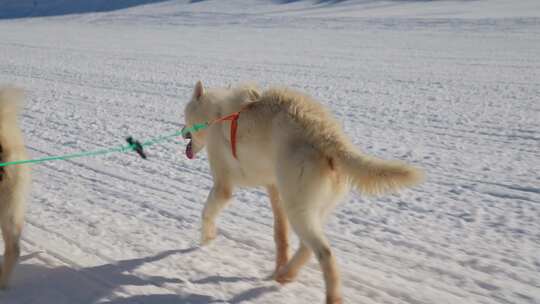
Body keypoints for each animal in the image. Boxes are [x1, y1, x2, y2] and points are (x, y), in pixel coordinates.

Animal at [184, 81, 424, 304]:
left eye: (185, 115)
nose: (183, 133)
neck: (216, 113)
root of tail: (327, 135)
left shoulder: (223, 185)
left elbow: (207, 212)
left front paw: (205, 240)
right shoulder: (274, 188)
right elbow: (280, 235)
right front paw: (278, 264)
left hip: (298, 208)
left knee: (324, 253)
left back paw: (329, 296)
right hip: (305, 206)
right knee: (307, 248)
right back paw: (285, 273)